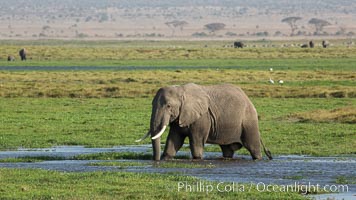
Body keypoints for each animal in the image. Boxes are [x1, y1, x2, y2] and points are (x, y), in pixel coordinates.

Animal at [136, 83, 272, 161]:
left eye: (169, 106)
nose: (156, 160)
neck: (181, 90)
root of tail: (248, 99)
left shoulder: (202, 117)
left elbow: (196, 141)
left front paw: (197, 158)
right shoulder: (180, 116)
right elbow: (175, 140)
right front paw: (166, 158)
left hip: (249, 120)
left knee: (253, 147)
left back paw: (258, 159)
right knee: (227, 150)